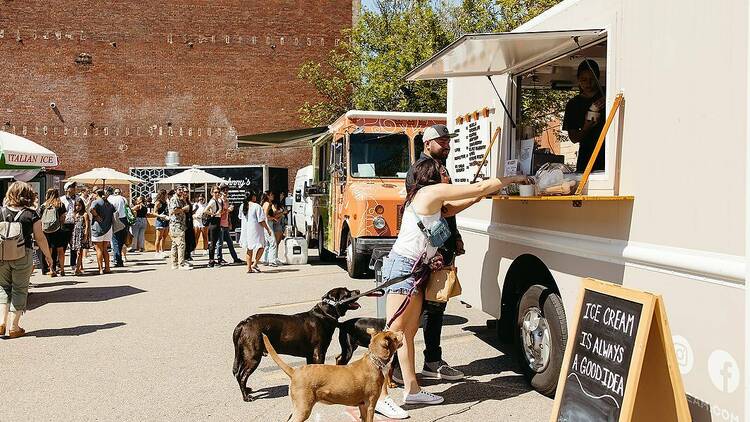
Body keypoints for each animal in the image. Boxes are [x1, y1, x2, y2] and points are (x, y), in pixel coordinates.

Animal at [235, 286, 364, 402]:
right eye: (347, 293)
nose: (358, 290)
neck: (324, 313)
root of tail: (244, 323)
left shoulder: (310, 355)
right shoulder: (319, 352)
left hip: (243, 354)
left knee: (238, 374)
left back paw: (247, 390)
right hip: (253, 356)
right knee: (242, 376)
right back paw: (246, 397)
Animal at [264, 330, 406, 422]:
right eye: (394, 336)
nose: (402, 331)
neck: (374, 362)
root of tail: (294, 372)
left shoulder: (362, 406)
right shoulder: (370, 404)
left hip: (298, 407)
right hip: (303, 408)